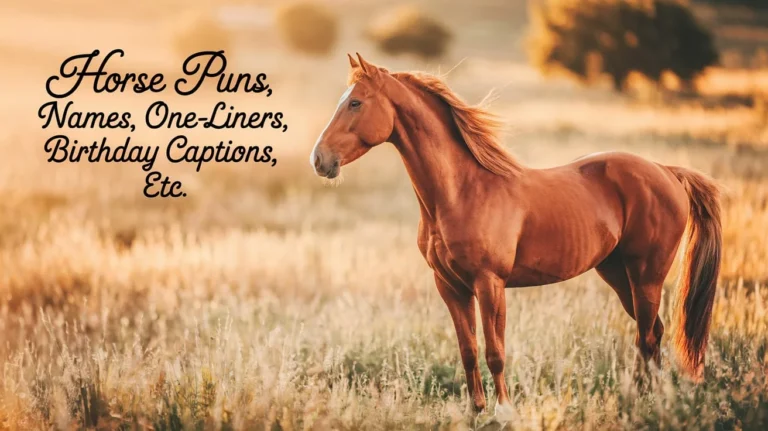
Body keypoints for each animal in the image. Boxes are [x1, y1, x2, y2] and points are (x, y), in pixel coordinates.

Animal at [310, 53, 722, 419]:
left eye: (356, 103)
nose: (319, 160)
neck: (462, 192)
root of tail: (667, 171)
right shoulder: (450, 286)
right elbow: (468, 351)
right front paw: (475, 411)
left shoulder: (489, 284)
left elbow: (495, 352)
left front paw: (504, 411)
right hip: (618, 274)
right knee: (652, 332)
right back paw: (647, 397)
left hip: (646, 275)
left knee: (647, 336)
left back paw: (644, 401)